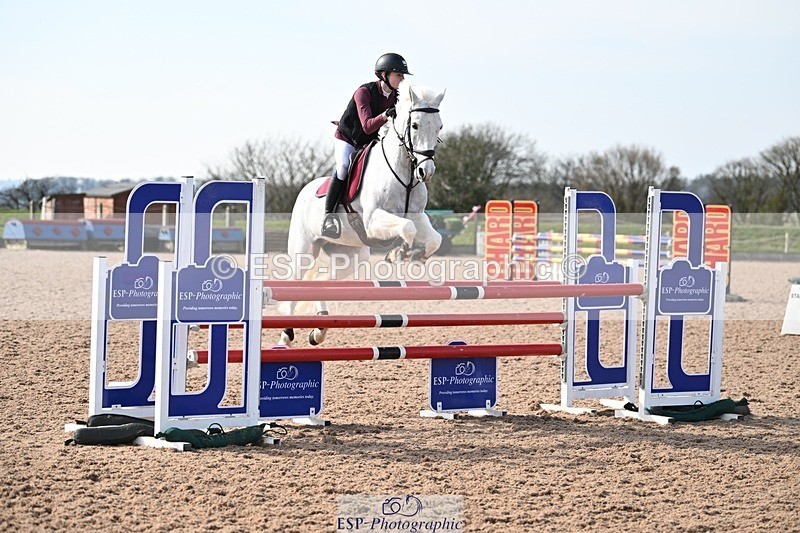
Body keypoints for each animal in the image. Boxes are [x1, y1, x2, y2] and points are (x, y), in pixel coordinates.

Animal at [276, 81, 446, 346]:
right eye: (415, 125)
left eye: (439, 126)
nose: (425, 172)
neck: (404, 174)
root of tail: (305, 189)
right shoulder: (374, 220)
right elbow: (406, 228)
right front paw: (401, 251)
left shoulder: (418, 216)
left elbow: (432, 237)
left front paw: (417, 255)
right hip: (304, 249)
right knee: (295, 283)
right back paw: (286, 333)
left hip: (351, 255)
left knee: (321, 282)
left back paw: (318, 330)